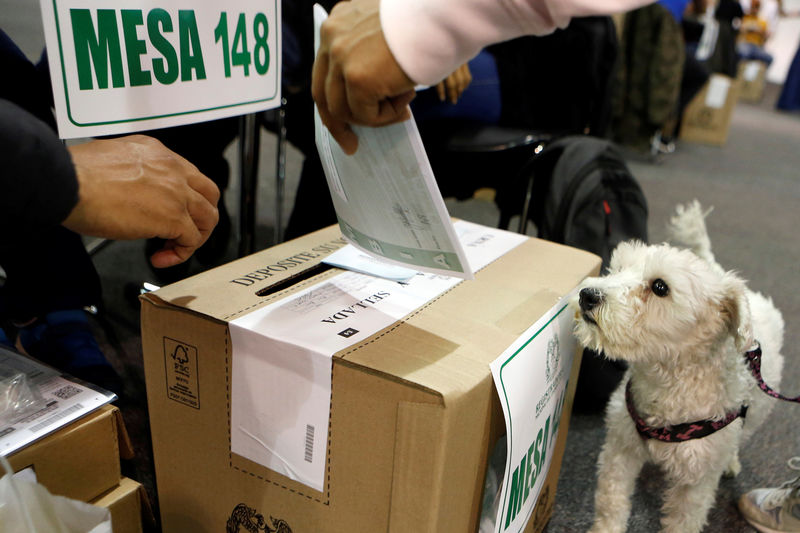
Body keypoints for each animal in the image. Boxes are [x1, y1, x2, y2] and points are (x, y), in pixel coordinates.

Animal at [572, 201, 784, 532]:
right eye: (618, 268)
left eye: (660, 287)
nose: (587, 295)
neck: (667, 381)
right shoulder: (620, 449)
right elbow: (611, 501)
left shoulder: (695, 484)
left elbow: (684, 520)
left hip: (756, 415)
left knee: (739, 438)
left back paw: (730, 461)